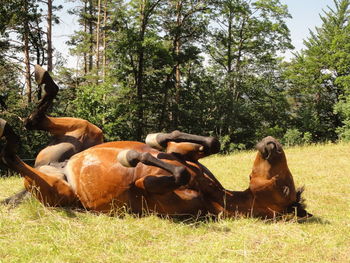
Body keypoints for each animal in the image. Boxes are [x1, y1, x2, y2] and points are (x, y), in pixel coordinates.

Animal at [0, 65, 312, 219]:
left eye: (285, 188)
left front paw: (130, 156)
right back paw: (41, 83)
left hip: (56, 190)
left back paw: (7, 135)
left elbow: (178, 171)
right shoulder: (183, 153)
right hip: (90, 132)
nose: (273, 144)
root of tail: (58, 168)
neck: (213, 193)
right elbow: (206, 144)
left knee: (12, 156)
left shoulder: (151, 188)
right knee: (35, 119)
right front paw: (156, 139)